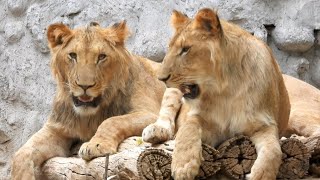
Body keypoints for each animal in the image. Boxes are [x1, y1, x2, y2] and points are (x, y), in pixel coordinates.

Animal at [142, 8, 290, 180]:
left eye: (185, 49)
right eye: (170, 48)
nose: (161, 78)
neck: (225, 91)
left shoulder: (264, 124)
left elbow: (274, 150)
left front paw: (260, 175)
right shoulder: (202, 120)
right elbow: (188, 128)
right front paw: (183, 166)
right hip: (172, 92)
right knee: (166, 117)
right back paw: (155, 131)